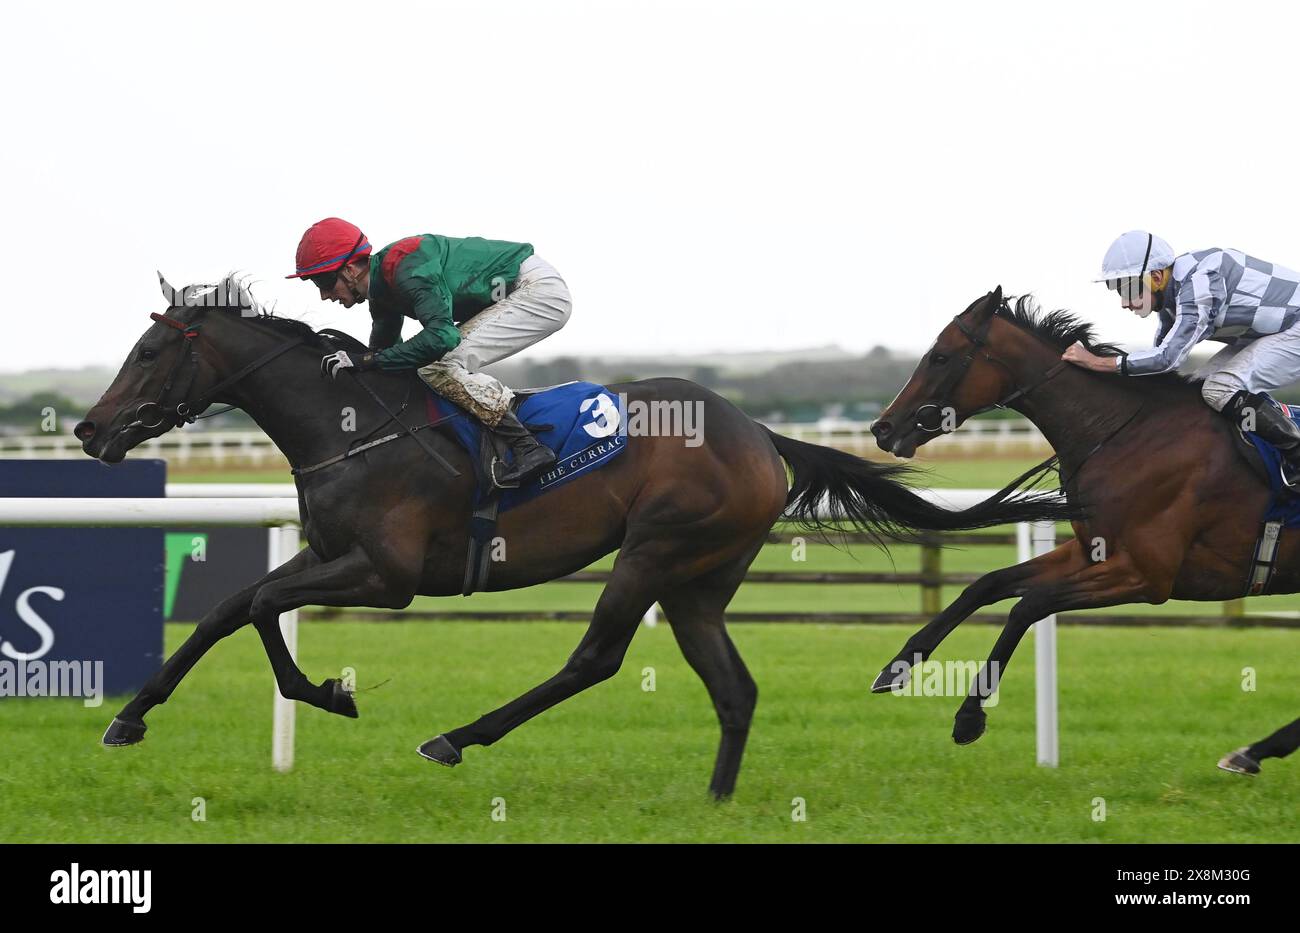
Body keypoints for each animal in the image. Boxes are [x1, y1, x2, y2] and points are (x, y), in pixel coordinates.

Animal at [76, 274, 1081, 800]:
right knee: (733, 684)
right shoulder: (330, 553)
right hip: (699, 578)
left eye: (150, 353)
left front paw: (329, 692)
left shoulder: (384, 574)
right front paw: (130, 716)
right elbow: (230, 607)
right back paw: (716, 799)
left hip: (654, 550)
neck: (349, 424)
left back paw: (456, 738)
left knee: (595, 656)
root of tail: (760, 432)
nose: (89, 430)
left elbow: (265, 610)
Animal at [868, 288, 1300, 779]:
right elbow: (987, 585)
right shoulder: (1094, 552)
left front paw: (969, 716)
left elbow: (1028, 606)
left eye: (940, 356)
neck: (1124, 434)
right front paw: (897, 668)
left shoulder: (1145, 577)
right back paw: (1254, 751)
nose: (882, 427)